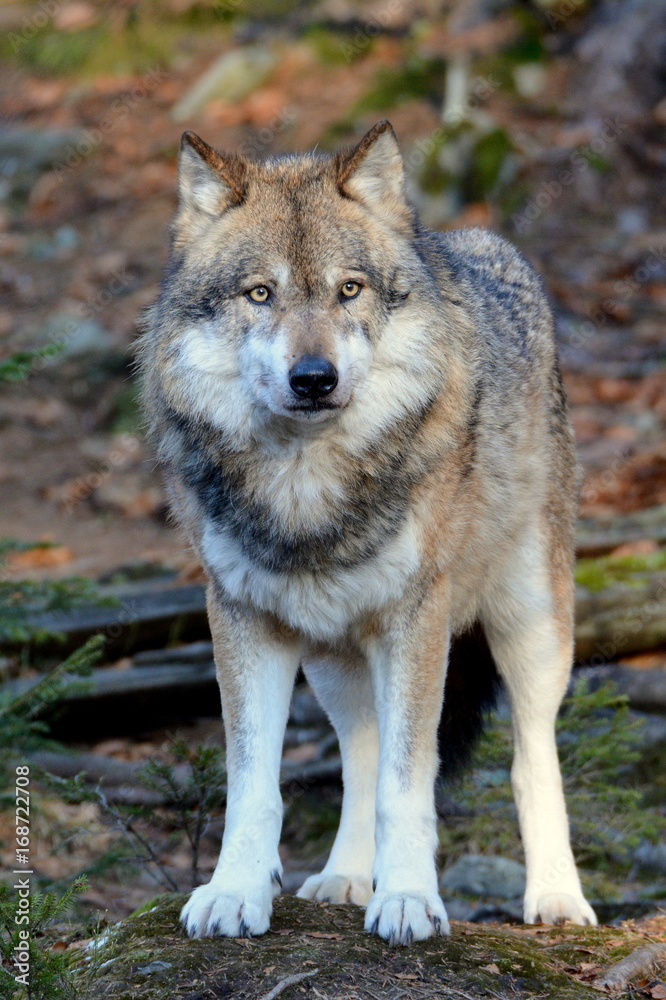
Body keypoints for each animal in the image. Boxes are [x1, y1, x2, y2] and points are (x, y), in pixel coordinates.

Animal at [137, 121, 592, 940]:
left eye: (349, 288)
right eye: (261, 293)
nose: (314, 378)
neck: (306, 491)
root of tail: (479, 242)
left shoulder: (417, 617)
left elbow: (410, 784)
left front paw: (408, 899)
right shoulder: (242, 617)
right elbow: (255, 787)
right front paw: (234, 891)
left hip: (532, 626)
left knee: (530, 754)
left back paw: (557, 899)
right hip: (335, 658)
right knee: (362, 755)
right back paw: (346, 878)